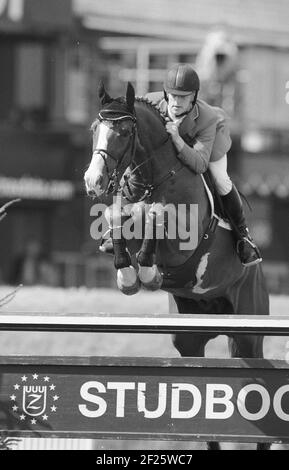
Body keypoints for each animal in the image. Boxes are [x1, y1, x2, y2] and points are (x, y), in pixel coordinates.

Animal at [84, 82, 268, 450]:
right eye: (95, 128)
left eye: (124, 132)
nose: (93, 181)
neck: (152, 177)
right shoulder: (122, 210)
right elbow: (115, 216)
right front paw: (128, 275)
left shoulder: (183, 241)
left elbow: (156, 216)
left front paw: (146, 272)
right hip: (188, 337)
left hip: (249, 332)